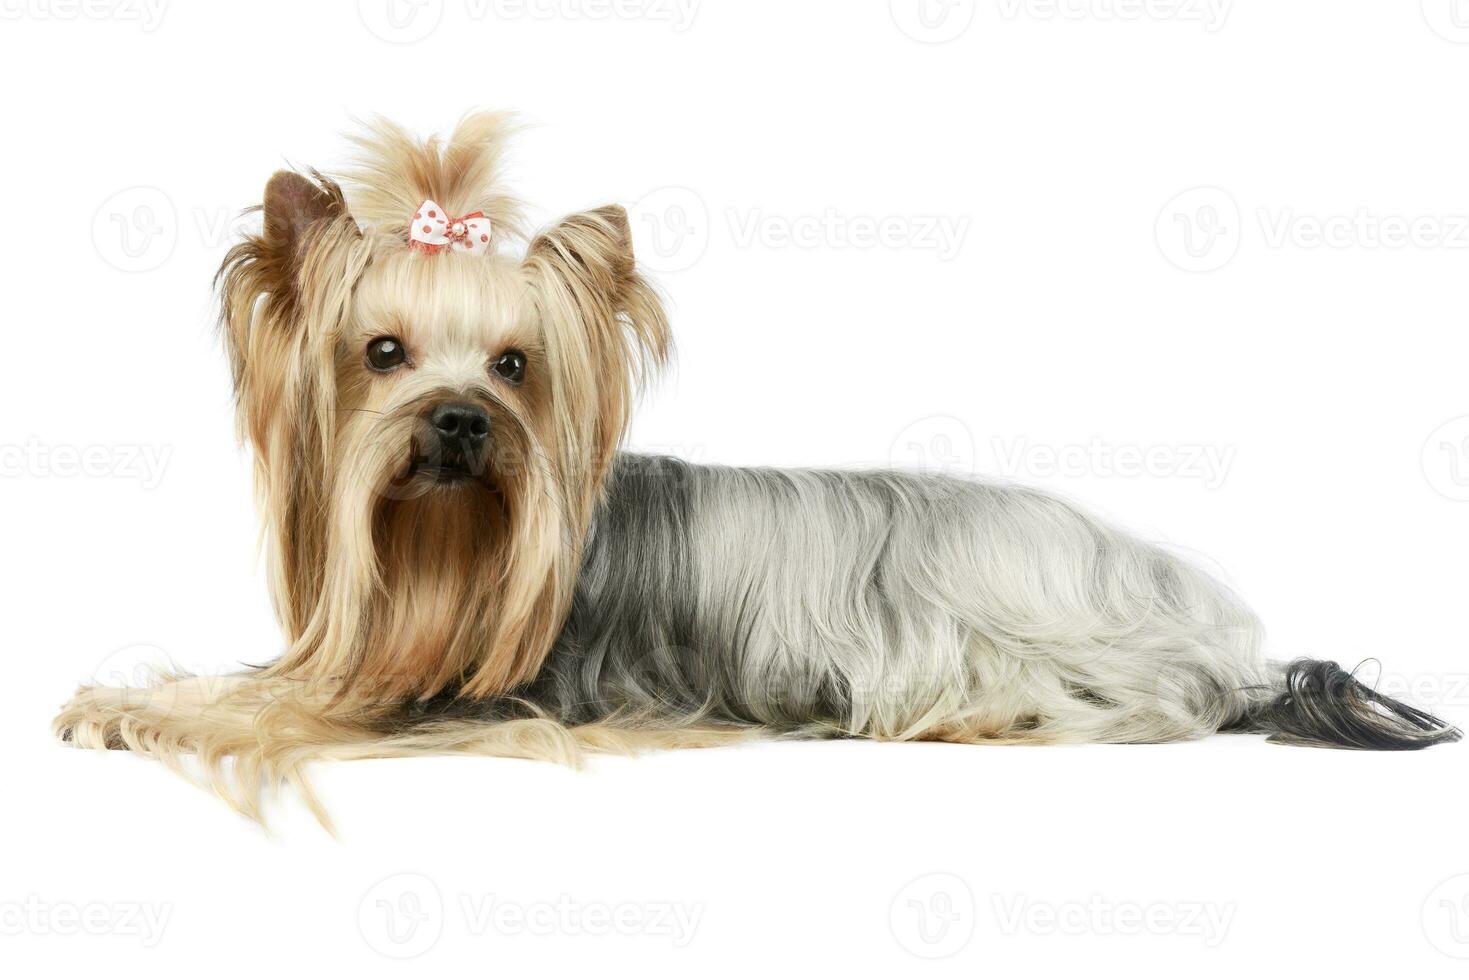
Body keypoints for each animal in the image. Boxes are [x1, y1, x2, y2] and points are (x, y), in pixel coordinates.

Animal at [54, 110, 1457, 822]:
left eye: (514, 365)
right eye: (382, 352)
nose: (455, 421)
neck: (446, 553)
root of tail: (1201, 614)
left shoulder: (472, 700)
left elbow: (278, 714)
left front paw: (161, 714)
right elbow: (255, 681)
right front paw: (123, 693)